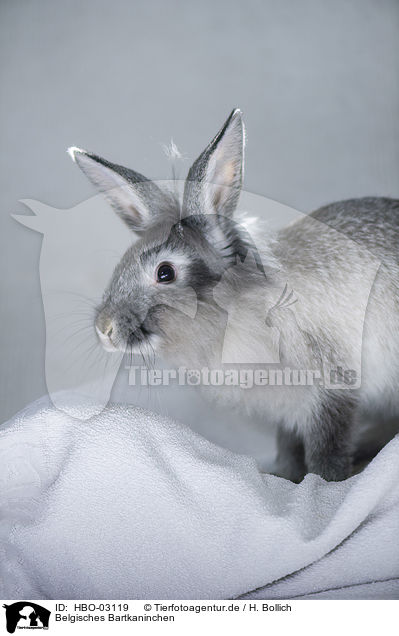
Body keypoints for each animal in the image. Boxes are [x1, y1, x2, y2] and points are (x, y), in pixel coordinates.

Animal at [67, 108, 399, 482]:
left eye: (164, 273)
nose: (104, 328)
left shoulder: (330, 393)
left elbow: (326, 451)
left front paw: (323, 483)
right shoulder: (288, 413)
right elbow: (288, 446)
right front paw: (284, 475)